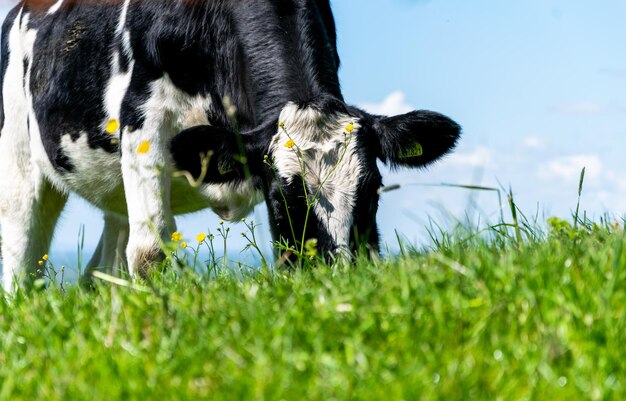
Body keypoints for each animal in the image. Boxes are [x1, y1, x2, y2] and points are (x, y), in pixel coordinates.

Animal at [0, 0, 458, 290]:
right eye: (278, 200)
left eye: (374, 192)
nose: (337, 283)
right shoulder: (143, 120)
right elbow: (151, 253)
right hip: (18, 168)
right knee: (22, 274)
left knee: (100, 272)